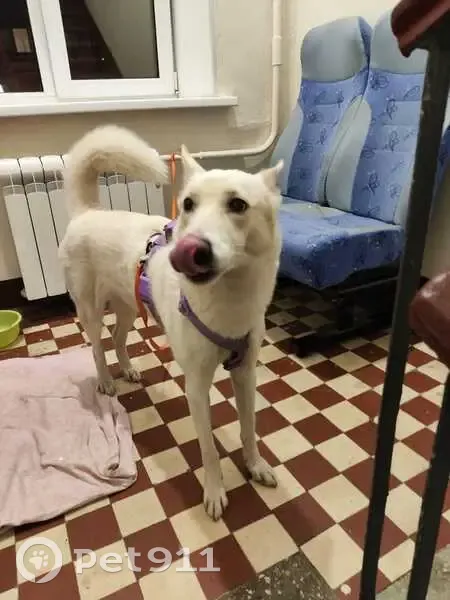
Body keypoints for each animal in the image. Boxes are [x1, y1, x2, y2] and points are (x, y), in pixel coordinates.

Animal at [59, 125, 284, 520]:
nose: (188, 250)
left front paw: (255, 466)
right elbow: (209, 449)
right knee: (98, 348)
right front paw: (215, 492)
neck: (229, 299)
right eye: (189, 204)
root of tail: (87, 212)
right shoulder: (196, 387)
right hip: (90, 310)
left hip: (129, 306)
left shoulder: (246, 374)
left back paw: (128, 369)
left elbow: (249, 428)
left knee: (118, 338)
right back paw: (107, 382)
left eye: (238, 205)